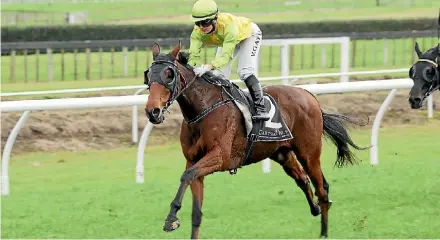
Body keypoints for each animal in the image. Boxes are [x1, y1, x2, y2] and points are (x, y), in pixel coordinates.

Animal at [143, 41, 366, 238]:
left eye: (168, 74)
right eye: (148, 75)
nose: (152, 111)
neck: (203, 109)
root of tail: (309, 95)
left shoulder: (220, 157)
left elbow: (186, 176)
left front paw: (171, 218)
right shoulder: (194, 161)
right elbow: (195, 208)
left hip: (309, 152)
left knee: (322, 189)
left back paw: (324, 231)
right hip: (282, 153)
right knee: (302, 180)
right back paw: (315, 209)